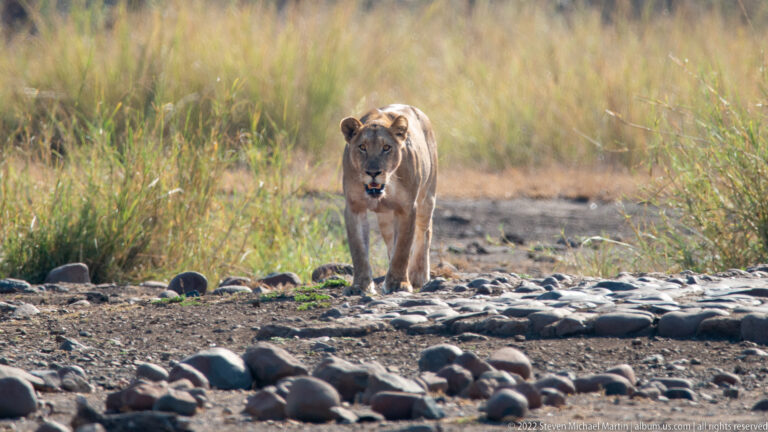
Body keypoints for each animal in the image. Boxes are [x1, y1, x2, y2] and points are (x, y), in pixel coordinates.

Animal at [339, 104, 437, 295]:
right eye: (362, 147)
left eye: (386, 147)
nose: (373, 172)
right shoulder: (354, 208)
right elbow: (358, 249)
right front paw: (360, 285)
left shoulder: (407, 208)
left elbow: (403, 248)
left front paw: (399, 283)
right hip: (385, 218)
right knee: (391, 241)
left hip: (427, 197)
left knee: (425, 232)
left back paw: (418, 276)